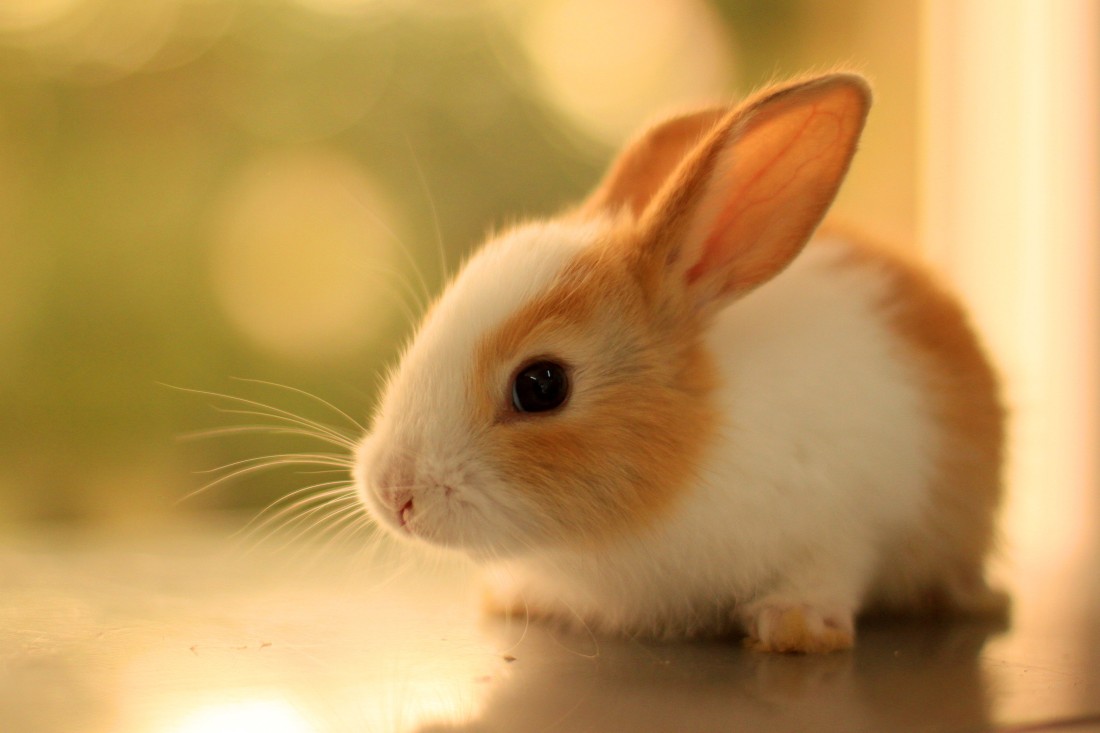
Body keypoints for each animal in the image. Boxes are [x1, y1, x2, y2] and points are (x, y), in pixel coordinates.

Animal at [353, 72, 1007, 653]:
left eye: (541, 385)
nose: (394, 493)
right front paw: (516, 596)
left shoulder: (847, 523)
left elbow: (828, 570)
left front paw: (794, 626)